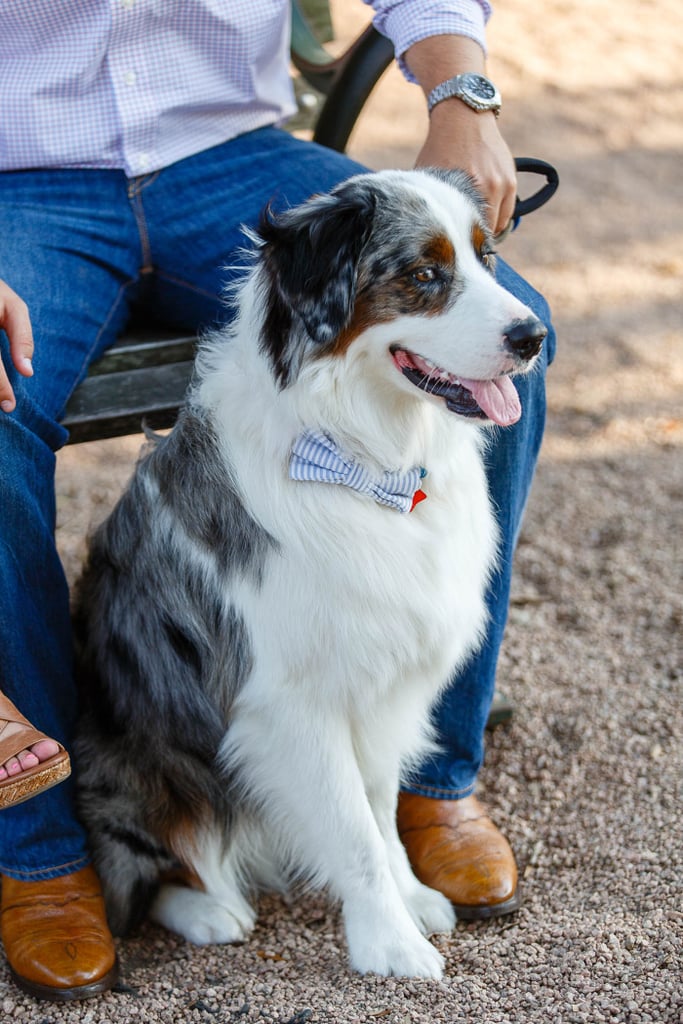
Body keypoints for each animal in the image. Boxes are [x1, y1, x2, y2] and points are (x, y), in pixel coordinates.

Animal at [72, 165, 548, 974]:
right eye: (424, 274)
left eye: (487, 258)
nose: (533, 336)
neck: (368, 460)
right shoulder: (290, 702)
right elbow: (353, 832)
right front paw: (390, 944)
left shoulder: (386, 678)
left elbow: (380, 808)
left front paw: (411, 899)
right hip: (141, 764)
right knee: (145, 873)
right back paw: (210, 911)